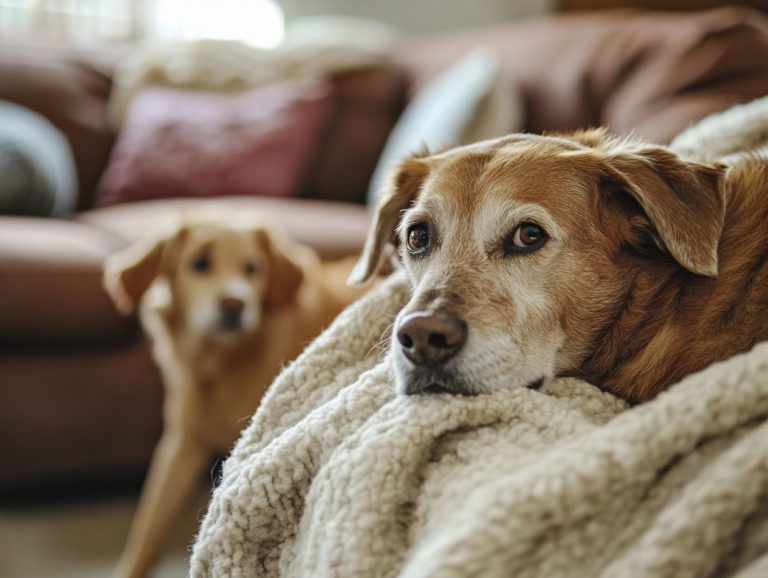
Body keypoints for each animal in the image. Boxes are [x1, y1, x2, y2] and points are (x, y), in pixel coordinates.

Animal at [104, 208, 366, 576]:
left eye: (252, 268)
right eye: (200, 263)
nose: (234, 304)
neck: (221, 362)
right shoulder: (183, 442)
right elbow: (149, 525)